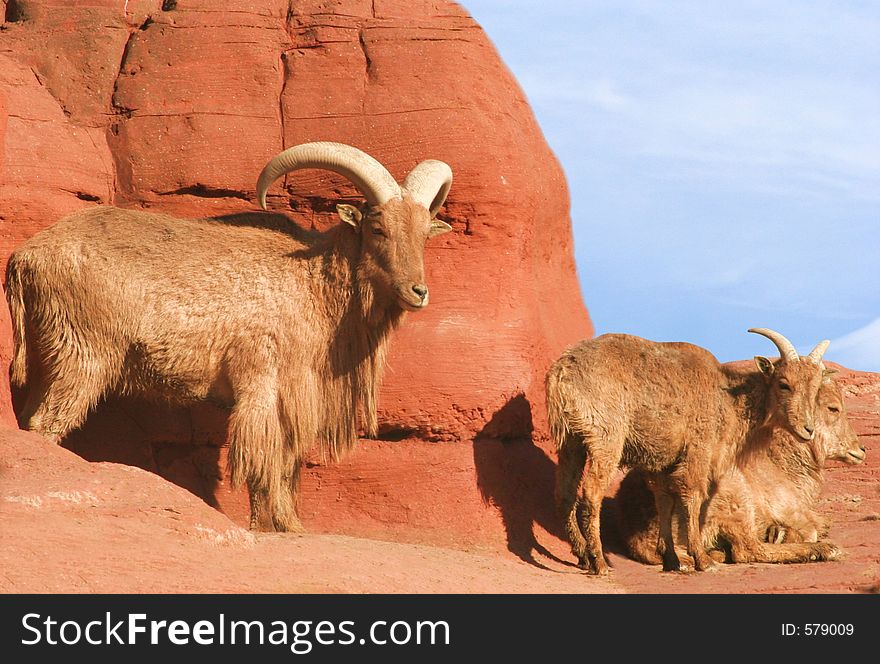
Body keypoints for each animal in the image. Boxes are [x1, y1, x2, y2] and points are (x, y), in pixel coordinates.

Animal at [8, 143, 454, 532]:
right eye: (377, 228)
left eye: (424, 234)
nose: (418, 291)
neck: (312, 283)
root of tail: (24, 258)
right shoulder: (264, 386)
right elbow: (265, 462)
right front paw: (274, 526)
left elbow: (286, 463)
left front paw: (287, 523)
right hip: (82, 356)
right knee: (45, 424)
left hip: (54, 356)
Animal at [552, 330, 832, 572]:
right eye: (784, 384)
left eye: (816, 389)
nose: (807, 429)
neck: (726, 397)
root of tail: (562, 372)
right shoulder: (698, 450)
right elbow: (693, 498)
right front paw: (701, 559)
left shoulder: (662, 463)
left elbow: (665, 502)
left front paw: (672, 559)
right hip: (605, 440)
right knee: (591, 493)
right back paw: (599, 561)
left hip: (570, 443)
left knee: (565, 494)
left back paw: (582, 555)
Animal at [612, 374, 868, 564]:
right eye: (833, 408)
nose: (860, 449)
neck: (781, 462)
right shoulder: (790, 511)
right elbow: (809, 530)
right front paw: (785, 536)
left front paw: (777, 532)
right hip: (734, 502)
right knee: (747, 550)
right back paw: (823, 549)